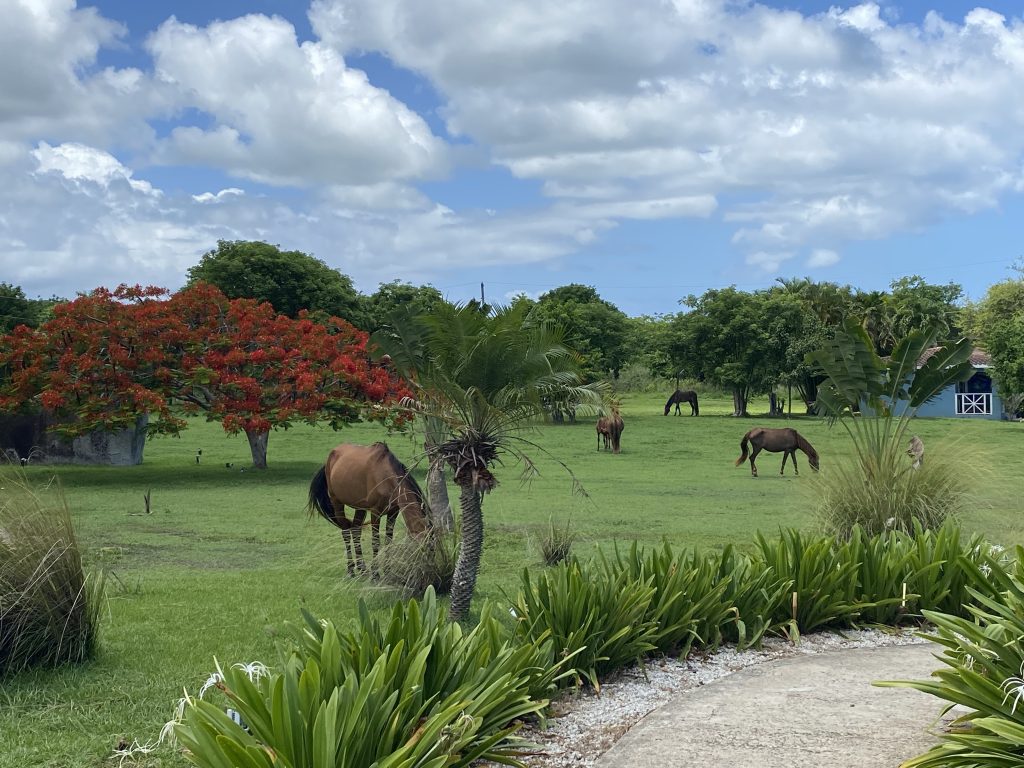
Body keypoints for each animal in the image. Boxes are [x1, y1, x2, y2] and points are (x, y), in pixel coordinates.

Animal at [307, 442, 429, 577]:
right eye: (424, 548)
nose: (427, 570)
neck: (385, 477)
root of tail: (331, 456)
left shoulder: (393, 512)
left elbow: (388, 541)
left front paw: (387, 570)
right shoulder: (375, 512)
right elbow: (375, 541)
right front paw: (375, 573)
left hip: (360, 507)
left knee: (355, 530)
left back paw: (362, 568)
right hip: (337, 502)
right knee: (345, 532)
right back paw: (350, 570)